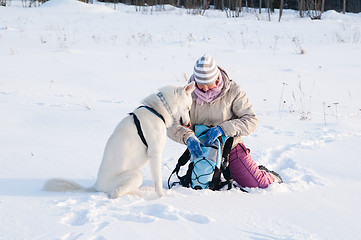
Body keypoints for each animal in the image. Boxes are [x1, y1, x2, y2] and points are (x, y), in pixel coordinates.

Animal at [44, 81, 195, 198]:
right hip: (136, 175)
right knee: (115, 194)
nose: (189, 125)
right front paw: (162, 196)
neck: (157, 110)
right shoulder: (155, 154)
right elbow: (157, 181)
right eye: (188, 107)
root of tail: (96, 187)